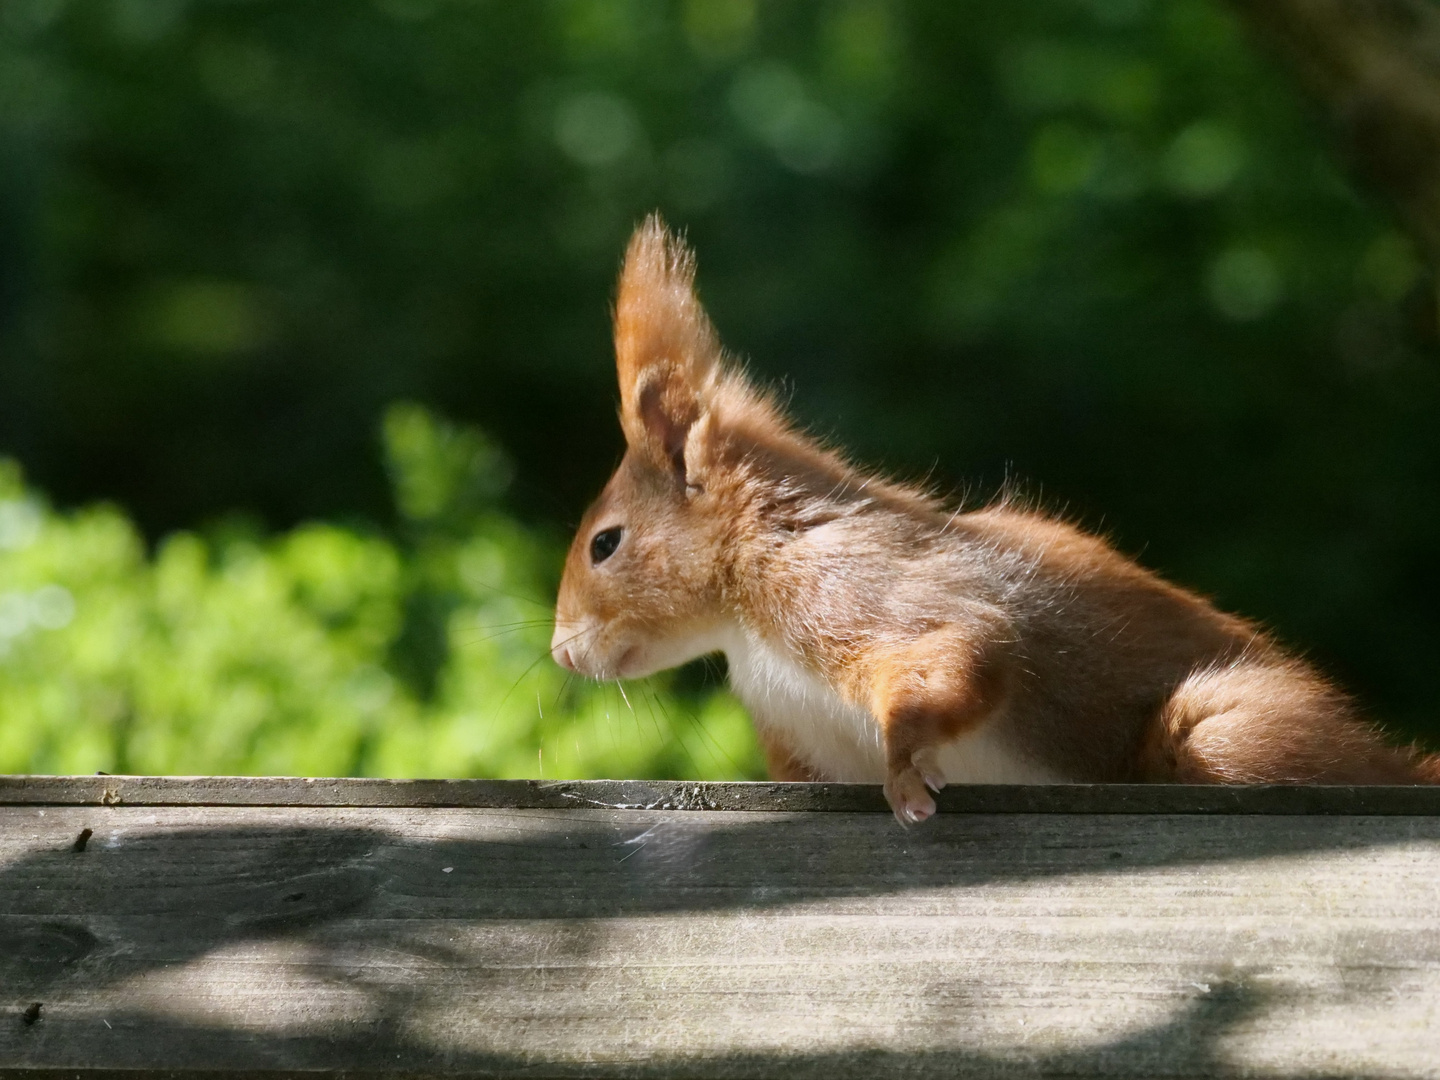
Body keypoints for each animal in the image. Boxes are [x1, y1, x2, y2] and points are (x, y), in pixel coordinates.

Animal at [550, 216, 1440, 823]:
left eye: (605, 543)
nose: (560, 652)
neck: (744, 625)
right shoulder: (800, 745)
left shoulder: (856, 585)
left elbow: (966, 652)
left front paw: (904, 761)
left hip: (1225, 736)